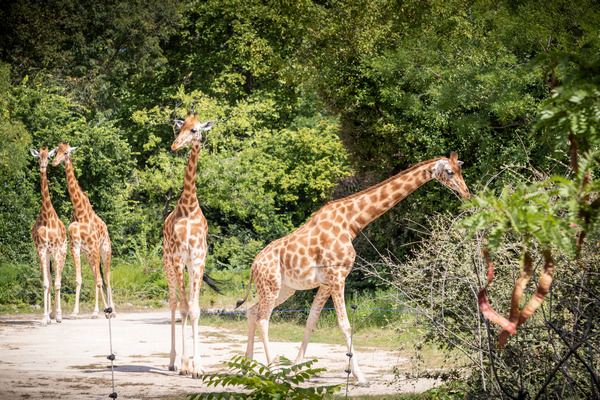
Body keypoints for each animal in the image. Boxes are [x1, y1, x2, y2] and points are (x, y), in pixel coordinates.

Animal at [51, 141, 115, 318]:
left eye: (66, 152)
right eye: (56, 151)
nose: (54, 162)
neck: (80, 213)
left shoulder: (93, 246)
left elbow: (101, 280)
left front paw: (103, 311)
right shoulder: (76, 247)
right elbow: (79, 279)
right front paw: (75, 312)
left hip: (104, 250)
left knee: (107, 276)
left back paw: (112, 310)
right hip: (88, 254)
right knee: (96, 276)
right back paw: (100, 310)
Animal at [237, 151, 472, 384]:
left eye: (460, 169)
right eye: (449, 171)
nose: (467, 194)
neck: (351, 222)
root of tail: (254, 265)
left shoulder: (326, 282)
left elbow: (311, 321)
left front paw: (295, 369)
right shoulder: (337, 276)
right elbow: (345, 325)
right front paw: (360, 376)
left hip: (285, 288)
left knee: (252, 310)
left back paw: (246, 367)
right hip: (271, 285)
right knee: (263, 318)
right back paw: (273, 372)